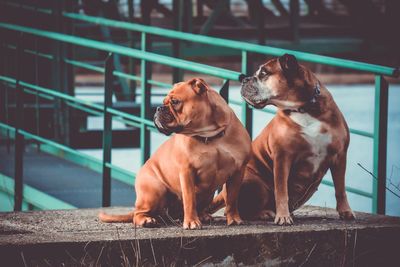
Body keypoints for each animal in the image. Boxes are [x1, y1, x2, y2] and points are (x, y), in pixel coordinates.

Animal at [99, 78, 250, 230]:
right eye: (164, 101)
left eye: (175, 101)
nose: (159, 108)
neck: (210, 136)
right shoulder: (187, 171)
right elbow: (189, 200)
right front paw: (191, 222)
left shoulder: (238, 171)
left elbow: (232, 199)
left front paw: (234, 219)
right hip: (155, 190)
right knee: (138, 214)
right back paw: (147, 220)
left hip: (208, 193)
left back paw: (203, 216)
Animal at [211, 54, 354, 226]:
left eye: (264, 73)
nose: (245, 79)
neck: (303, 108)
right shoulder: (282, 158)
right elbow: (281, 191)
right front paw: (283, 216)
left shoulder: (340, 155)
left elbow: (340, 188)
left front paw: (346, 211)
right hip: (254, 183)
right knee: (234, 209)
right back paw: (265, 213)